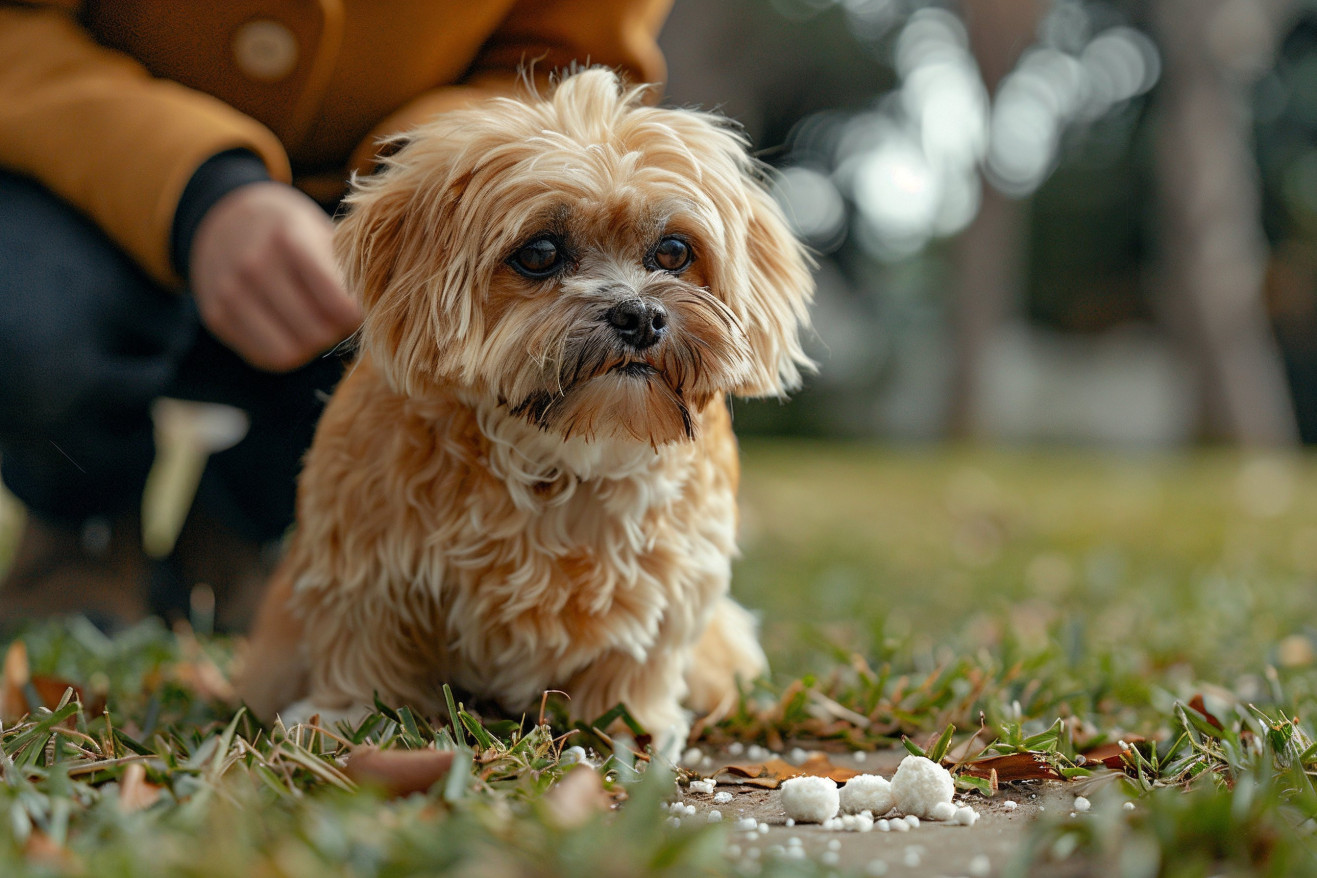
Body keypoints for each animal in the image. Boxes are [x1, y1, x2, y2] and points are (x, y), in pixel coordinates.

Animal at [239, 70, 811, 758]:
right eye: (539, 253)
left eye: (674, 251)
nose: (640, 316)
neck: (557, 457)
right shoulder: (366, 566)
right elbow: (362, 645)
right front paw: (349, 715)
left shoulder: (672, 582)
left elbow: (638, 655)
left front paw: (633, 721)